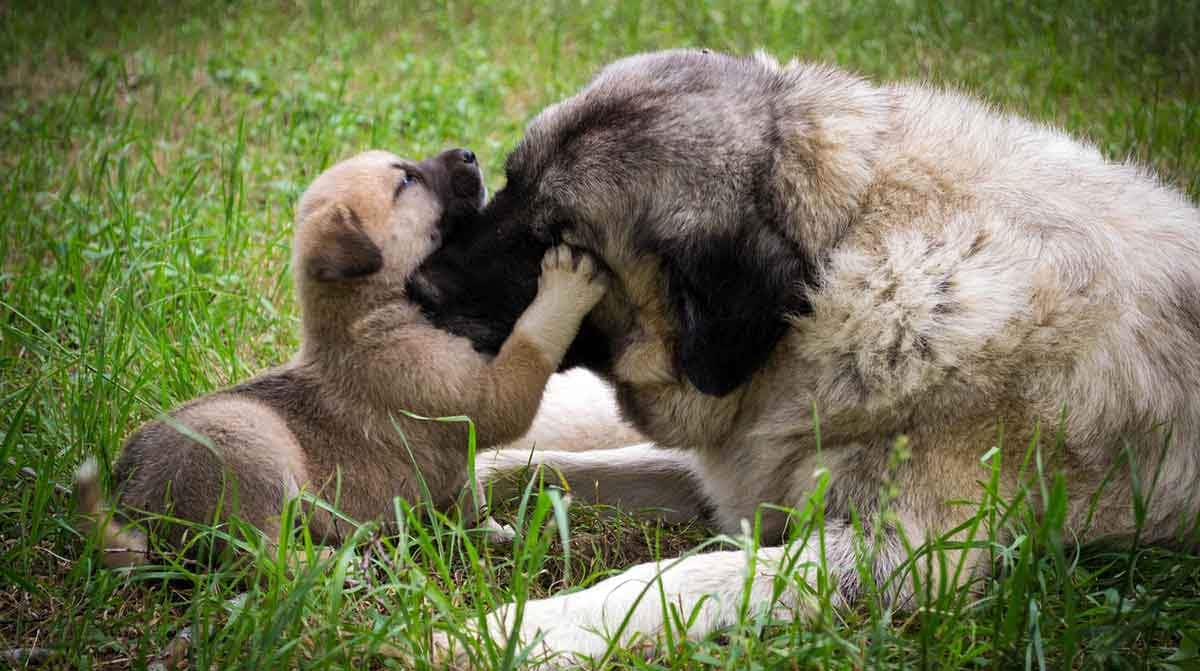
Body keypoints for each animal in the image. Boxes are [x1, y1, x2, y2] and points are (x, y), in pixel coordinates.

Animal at [72, 148, 609, 566]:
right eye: (407, 180)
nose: (470, 154)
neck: (371, 315)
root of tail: (132, 498)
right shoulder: (481, 397)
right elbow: (530, 344)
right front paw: (566, 286)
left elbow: (470, 499)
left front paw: (494, 534)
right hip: (250, 445)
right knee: (260, 557)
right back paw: (337, 563)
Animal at [405, 49, 1200, 662]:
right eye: (510, 183)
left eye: (555, 241)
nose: (417, 286)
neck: (836, 263)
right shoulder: (744, 473)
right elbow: (550, 468)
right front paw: (453, 493)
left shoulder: (909, 557)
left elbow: (682, 578)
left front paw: (523, 630)